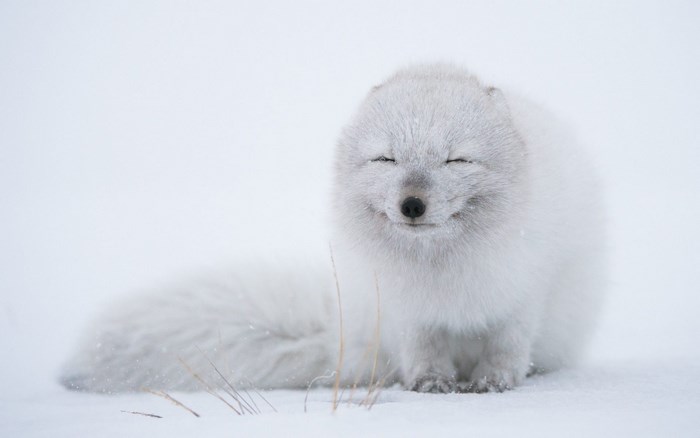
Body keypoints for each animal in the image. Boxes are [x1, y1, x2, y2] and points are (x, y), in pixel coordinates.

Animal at [61, 64, 606, 394]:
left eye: (457, 159)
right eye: (386, 159)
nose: (412, 204)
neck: (440, 270)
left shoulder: (523, 292)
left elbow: (507, 346)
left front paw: (494, 383)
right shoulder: (407, 309)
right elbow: (424, 351)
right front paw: (430, 385)